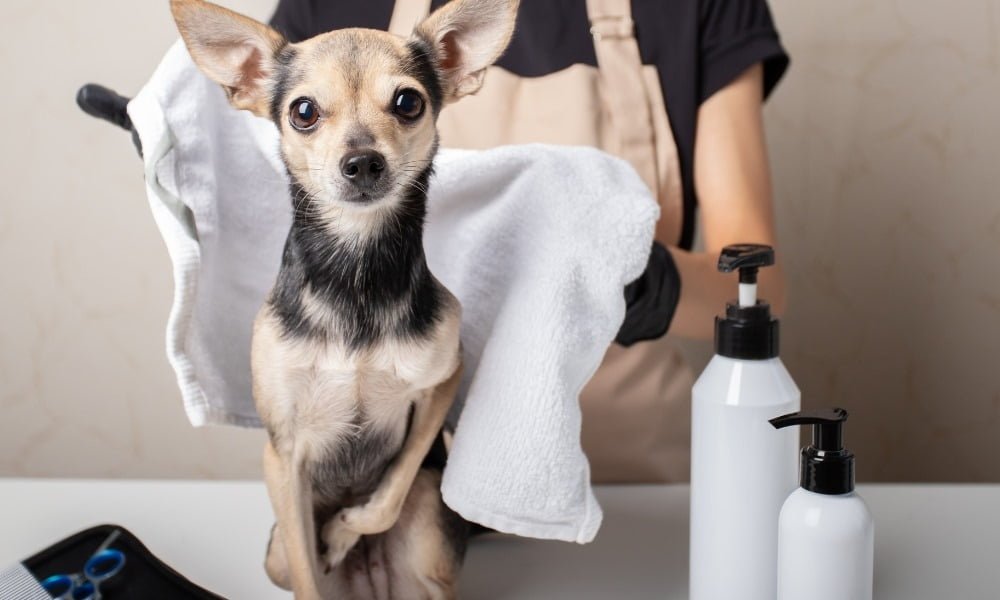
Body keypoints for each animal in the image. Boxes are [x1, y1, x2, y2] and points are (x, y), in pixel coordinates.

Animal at [169, 0, 520, 596]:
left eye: (408, 102)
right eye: (304, 112)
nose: (362, 161)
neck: (355, 273)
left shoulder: (442, 383)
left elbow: (388, 492)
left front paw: (340, 532)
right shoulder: (282, 456)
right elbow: (308, 569)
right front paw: (325, 545)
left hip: (430, 535)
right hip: (274, 558)